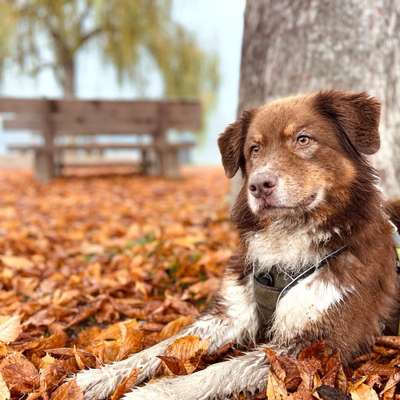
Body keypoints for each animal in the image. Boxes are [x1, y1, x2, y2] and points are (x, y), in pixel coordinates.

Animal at [76, 91, 400, 400]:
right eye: (254, 149)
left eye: (303, 139)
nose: (259, 185)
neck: (287, 237)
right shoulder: (230, 313)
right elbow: (163, 346)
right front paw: (98, 377)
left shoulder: (320, 344)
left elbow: (221, 371)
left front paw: (152, 392)